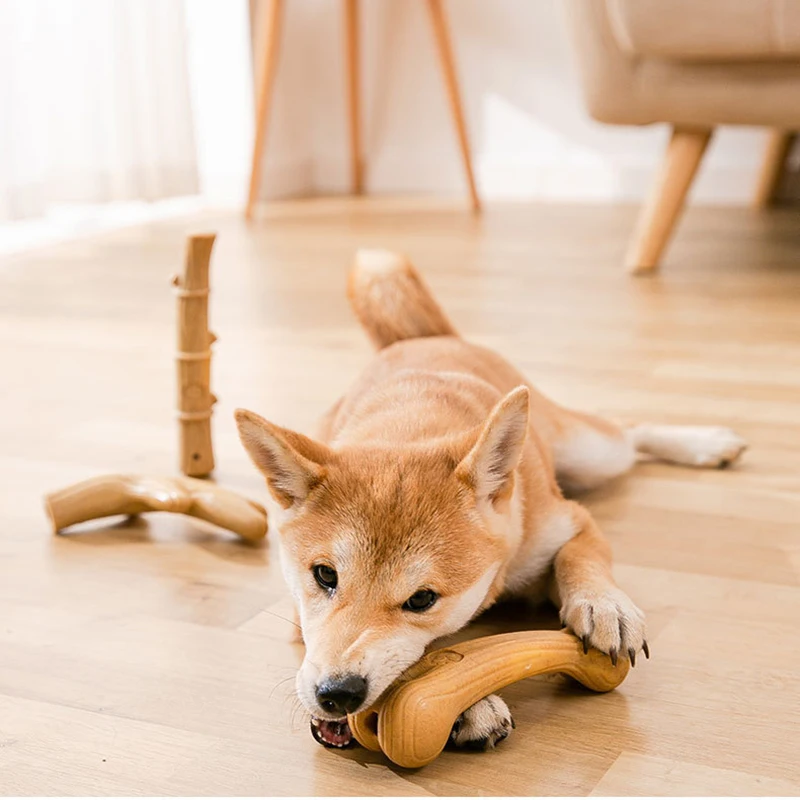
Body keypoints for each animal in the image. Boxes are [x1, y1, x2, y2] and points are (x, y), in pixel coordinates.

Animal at [234, 250, 748, 752]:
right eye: (324, 576)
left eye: (422, 599)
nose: (337, 694)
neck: (413, 423)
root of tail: (425, 338)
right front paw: (469, 704)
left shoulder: (570, 520)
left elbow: (580, 556)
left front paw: (604, 605)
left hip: (592, 454)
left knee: (629, 430)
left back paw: (708, 443)